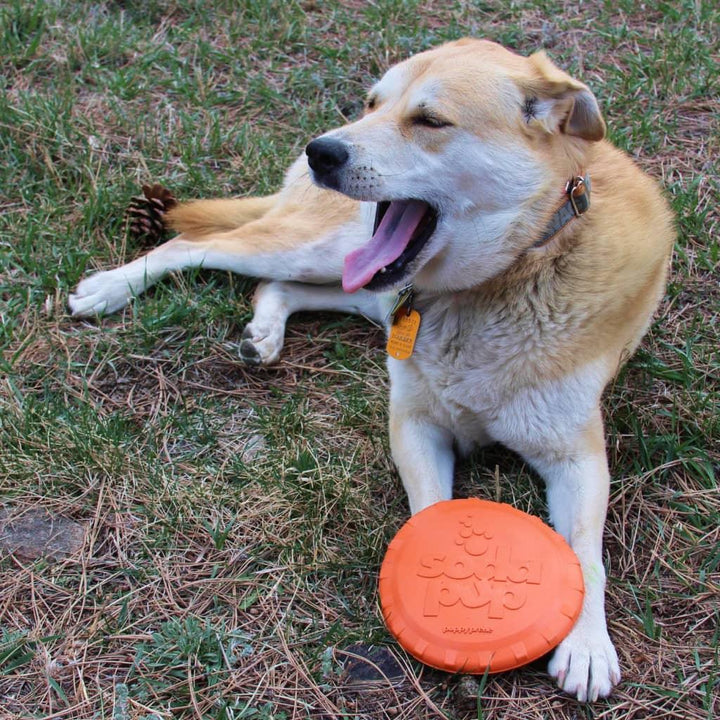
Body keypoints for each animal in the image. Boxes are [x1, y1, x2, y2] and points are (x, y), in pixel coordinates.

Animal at [69, 39, 676, 704]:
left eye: (430, 120)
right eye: (371, 103)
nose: (322, 150)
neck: (504, 280)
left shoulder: (577, 456)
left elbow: (586, 551)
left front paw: (588, 642)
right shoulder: (415, 424)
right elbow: (433, 511)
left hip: (357, 286)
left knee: (275, 286)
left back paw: (264, 333)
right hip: (313, 247)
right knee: (192, 247)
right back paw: (109, 288)